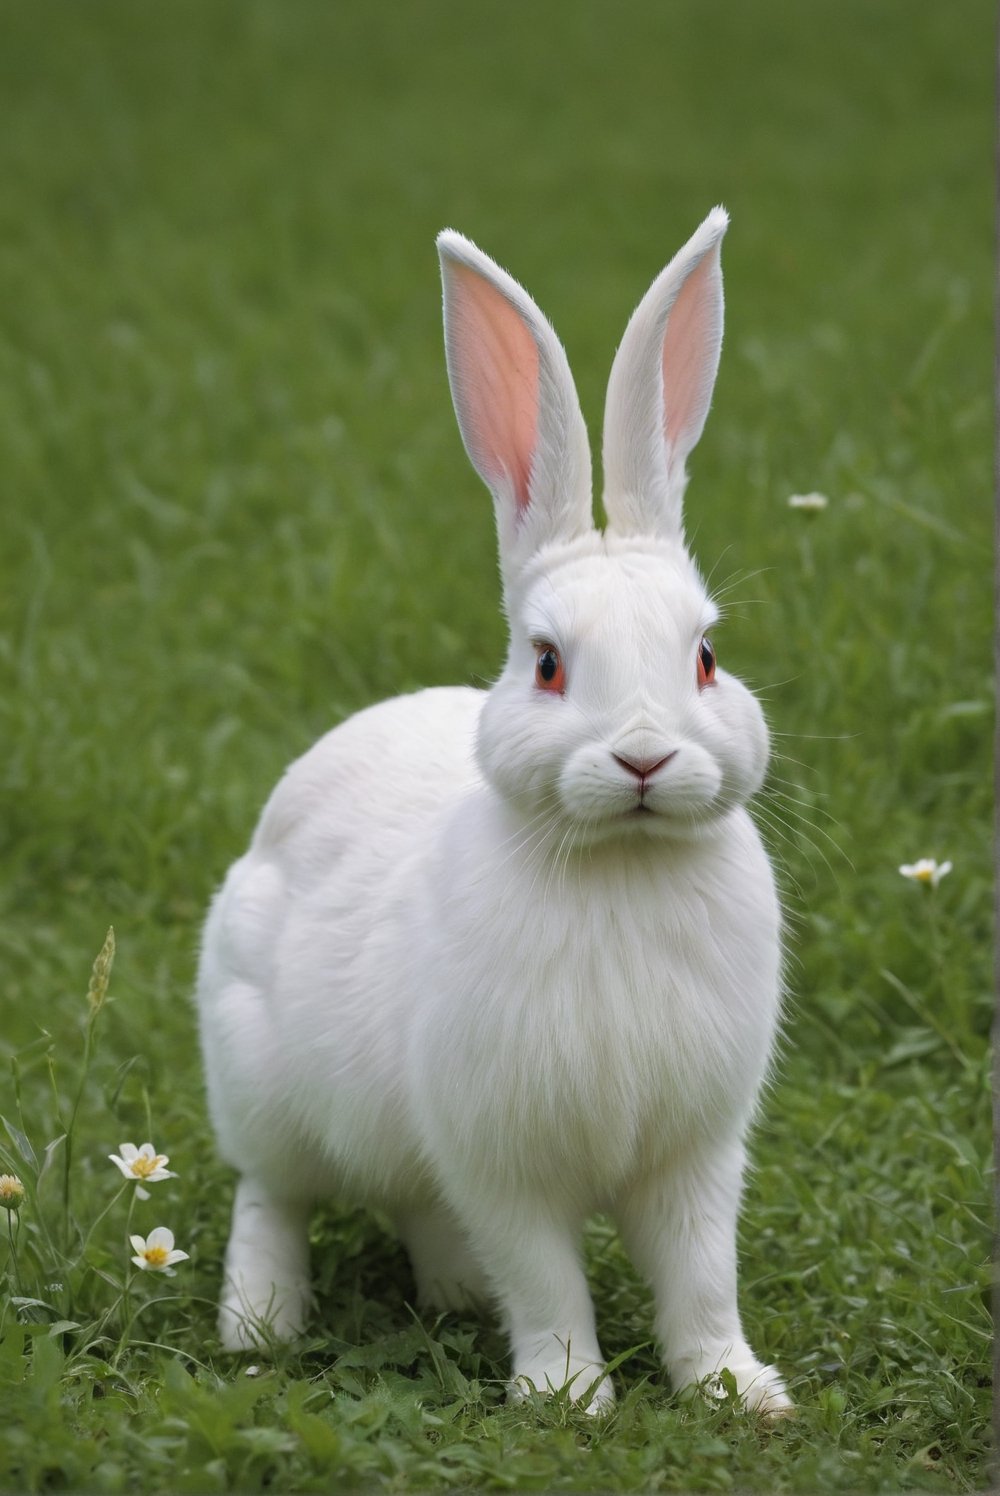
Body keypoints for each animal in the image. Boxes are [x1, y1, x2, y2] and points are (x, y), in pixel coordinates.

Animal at [194, 207, 790, 1412]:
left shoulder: (696, 1154)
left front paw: (737, 1391)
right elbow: (545, 1273)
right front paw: (568, 1396)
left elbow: (702, 1277)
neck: (620, 862)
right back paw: (261, 1326)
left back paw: (457, 1300)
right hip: (263, 1087)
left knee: (414, 1204)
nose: (646, 755)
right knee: (270, 1199)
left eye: (705, 657)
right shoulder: (500, 1158)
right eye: (549, 664)